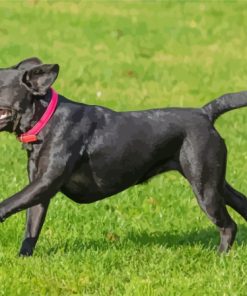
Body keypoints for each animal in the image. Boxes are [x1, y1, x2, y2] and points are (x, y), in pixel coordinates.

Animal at [0, 57, 247, 256]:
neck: (45, 118)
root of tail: (205, 113)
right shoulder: (40, 188)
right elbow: (31, 228)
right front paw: (22, 258)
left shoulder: (47, 182)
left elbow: (9, 202)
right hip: (213, 180)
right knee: (240, 202)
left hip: (205, 187)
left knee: (228, 225)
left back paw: (220, 256)